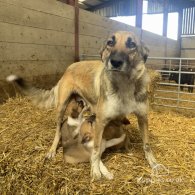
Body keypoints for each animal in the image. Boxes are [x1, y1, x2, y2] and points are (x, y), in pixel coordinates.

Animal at [6, 30, 163, 181]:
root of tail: (69, 67)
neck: (124, 84)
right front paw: (95, 170)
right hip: (61, 107)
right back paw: (52, 150)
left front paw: (153, 163)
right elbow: (96, 149)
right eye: (110, 43)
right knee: (58, 131)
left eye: (132, 44)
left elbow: (146, 145)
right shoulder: (100, 121)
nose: (115, 62)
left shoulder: (142, 117)